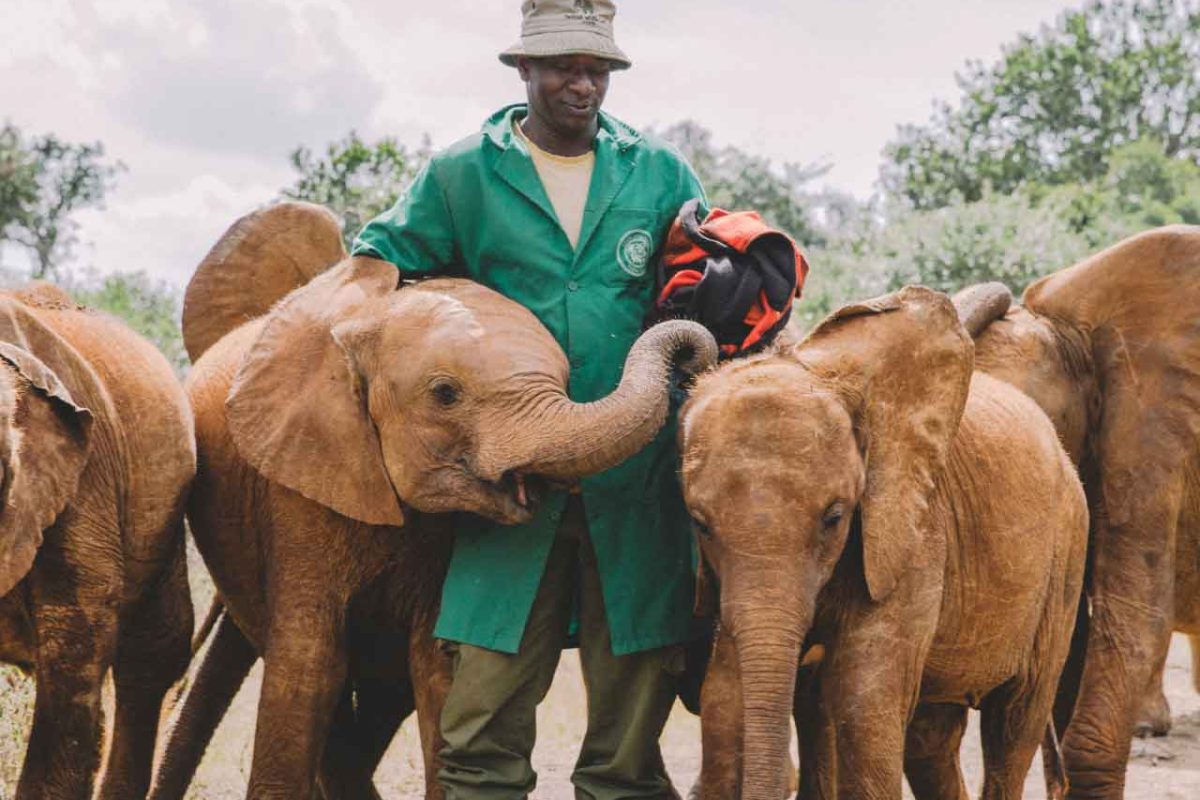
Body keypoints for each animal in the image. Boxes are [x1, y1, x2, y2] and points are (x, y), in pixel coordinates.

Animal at [678, 286, 1088, 799]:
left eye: (834, 518)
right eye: (700, 525)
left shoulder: (910, 530)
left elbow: (863, 704)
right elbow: (725, 697)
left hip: (1066, 551)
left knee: (1014, 721)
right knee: (931, 739)